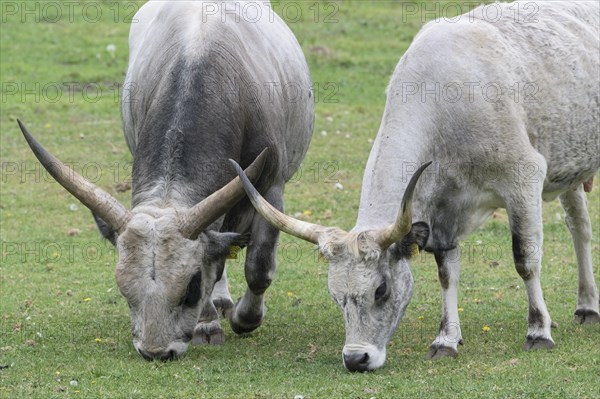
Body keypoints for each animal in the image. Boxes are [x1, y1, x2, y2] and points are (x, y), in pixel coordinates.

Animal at [18, 0, 314, 362]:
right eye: (123, 289)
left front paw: (246, 319)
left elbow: (258, 267)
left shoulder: (270, 189)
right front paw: (206, 324)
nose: (156, 352)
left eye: (191, 286)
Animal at [231, 0, 600, 372]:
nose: (356, 358)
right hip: (570, 167)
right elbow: (447, 272)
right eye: (336, 296)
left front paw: (539, 332)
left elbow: (525, 259)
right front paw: (446, 339)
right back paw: (587, 306)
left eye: (381, 290)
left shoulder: (523, 180)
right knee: (579, 227)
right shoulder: (443, 211)